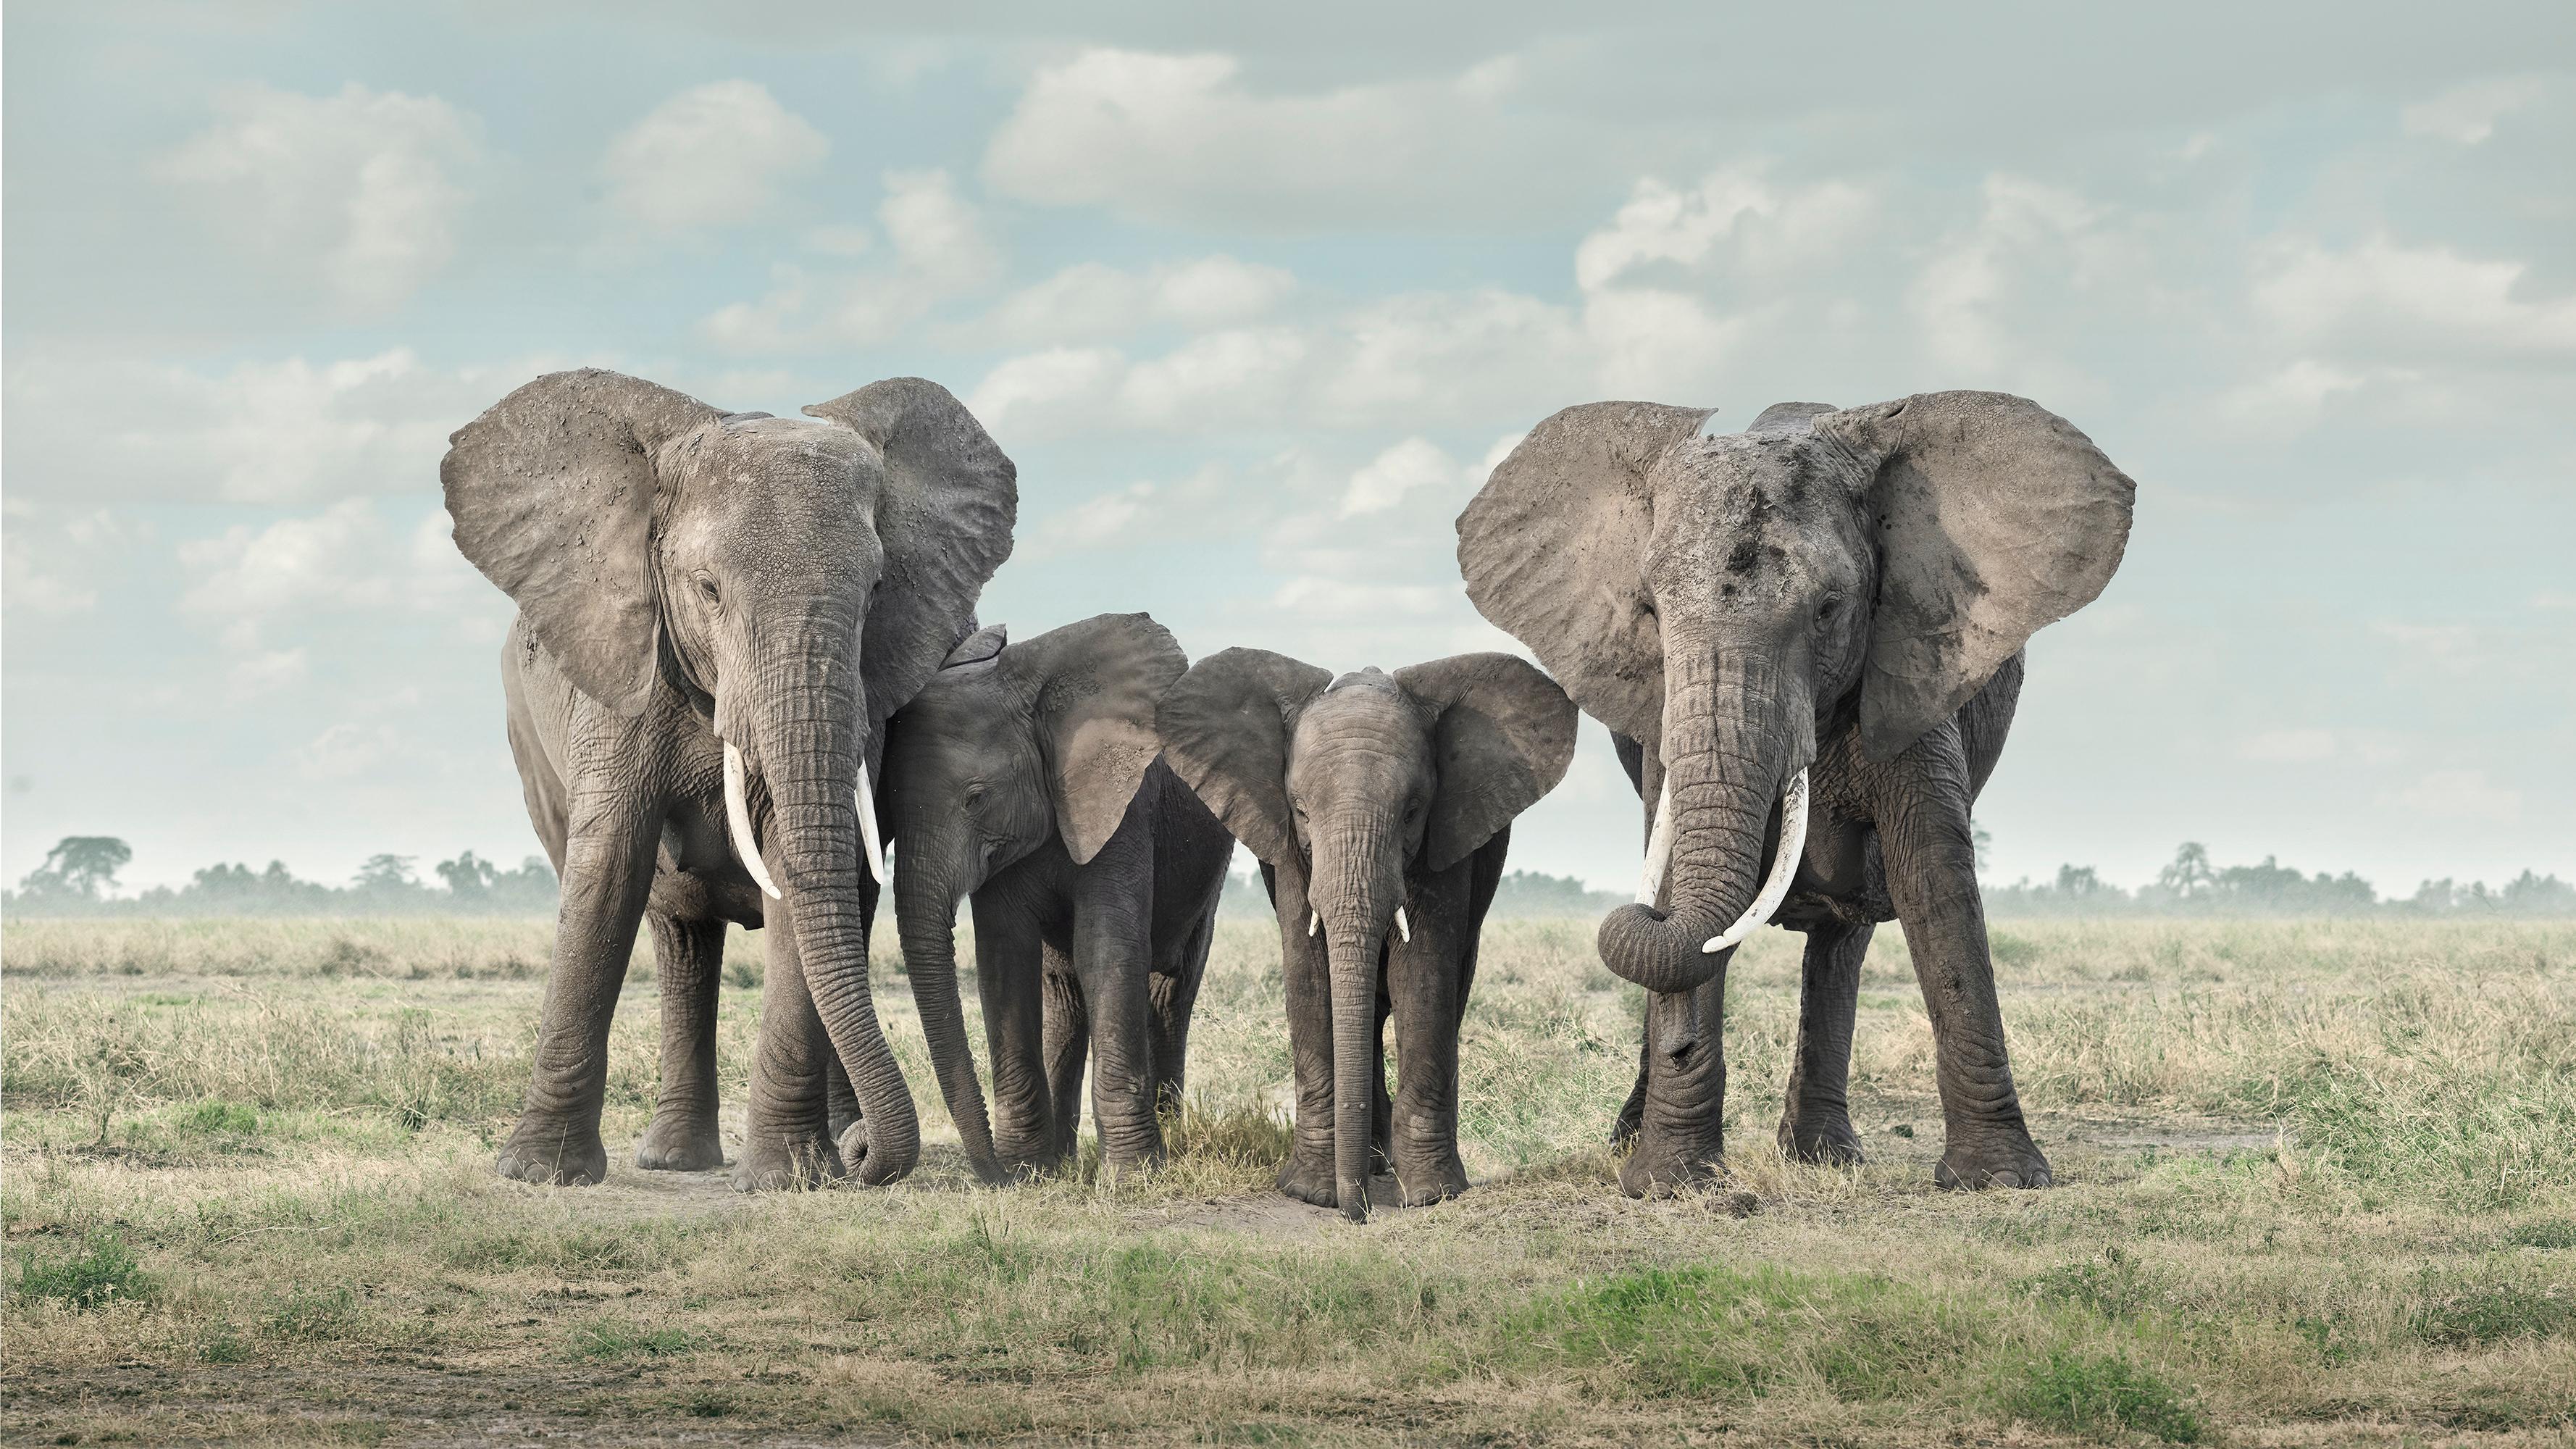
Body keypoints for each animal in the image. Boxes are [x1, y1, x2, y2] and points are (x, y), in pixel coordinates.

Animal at [438, 366, 1009, 1191]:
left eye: (876, 592)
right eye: (707, 589)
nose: (869, 1157)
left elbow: (803, 878)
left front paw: (788, 1179)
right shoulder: (623, 667)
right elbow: (606, 869)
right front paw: (537, 1174)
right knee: (677, 933)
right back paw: (682, 1159)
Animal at [881, 603, 1231, 1180]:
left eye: (976, 799)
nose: (992, 1178)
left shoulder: (1123, 810)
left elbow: (1107, 951)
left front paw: (1133, 1176)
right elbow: (1006, 957)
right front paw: (1028, 1171)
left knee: (1169, 991)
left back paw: (1173, 1139)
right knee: (1063, 994)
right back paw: (1063, 1160)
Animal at [1164, 649, 1576, 1211]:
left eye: (1413, 811)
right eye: (1300, 809)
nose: (1356, 1213)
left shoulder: (1445, 841)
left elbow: (1422, 975)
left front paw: (1428, 1195)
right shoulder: (1289, 850)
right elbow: (1308, 973)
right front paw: (1312, 1193)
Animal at [1463, 389, 2143, 1191]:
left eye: (1829, 607)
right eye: (1650, 612)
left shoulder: (1910, 663)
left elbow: (1932, 876)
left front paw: (1999, 1180)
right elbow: (1682, 884)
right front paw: (1670, 1183)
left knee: (1843, 941)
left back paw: (1823, 1156)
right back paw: (1641, 1143)